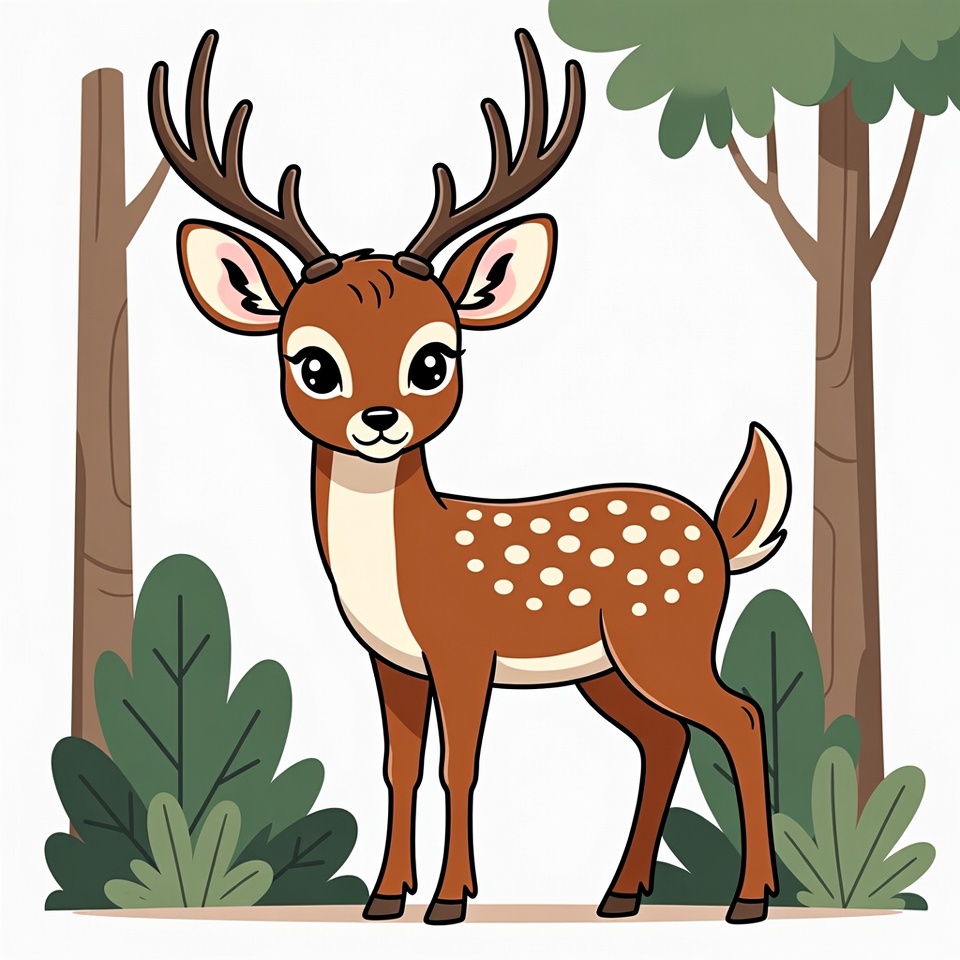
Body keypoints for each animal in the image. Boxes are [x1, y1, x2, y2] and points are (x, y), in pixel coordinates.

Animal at [150, 29, 791, 925]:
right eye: (313, 363)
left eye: (433, 359)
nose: (378, 420)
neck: (403, 568)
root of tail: (719, 537)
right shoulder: (391, 661)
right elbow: (401, 766)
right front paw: (386, 897)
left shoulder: (464, 648)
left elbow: (461, 765)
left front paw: (450, 900)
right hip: (607, 668)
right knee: (665, 737)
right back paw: (619, 895)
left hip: (664, 634)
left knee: (738, 715)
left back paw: (749, 899)